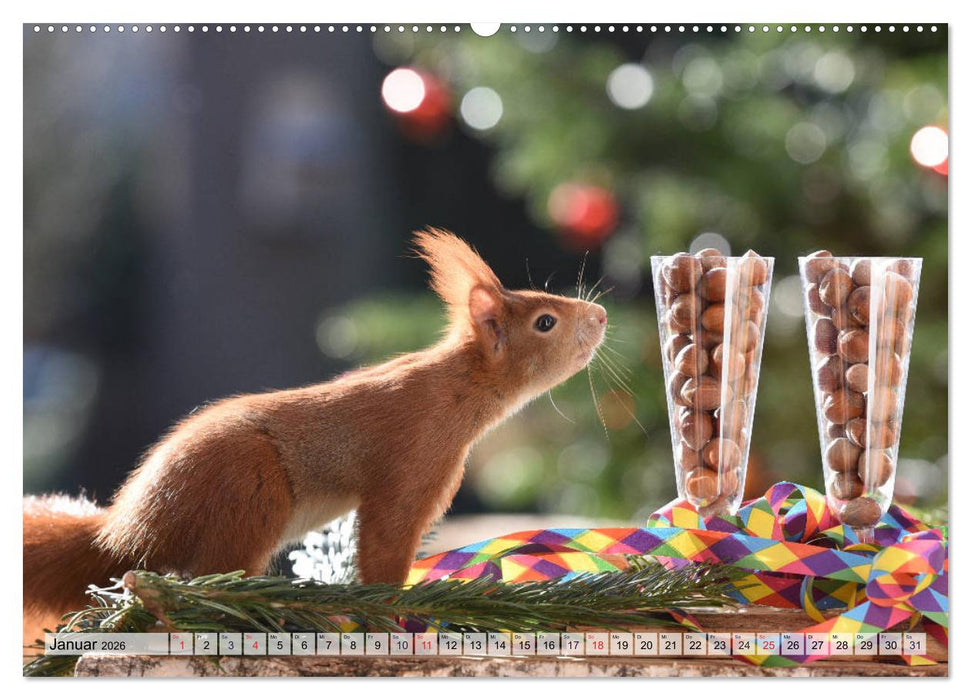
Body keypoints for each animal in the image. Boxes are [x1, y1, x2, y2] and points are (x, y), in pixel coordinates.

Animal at [23, 228, 607, 620]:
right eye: (546, 322)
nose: (601, 316)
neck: (457, 388)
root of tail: (127, 530)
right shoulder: (413, 464)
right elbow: (384, 541)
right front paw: (400, 604)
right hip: (247, 494)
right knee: (208, 576)